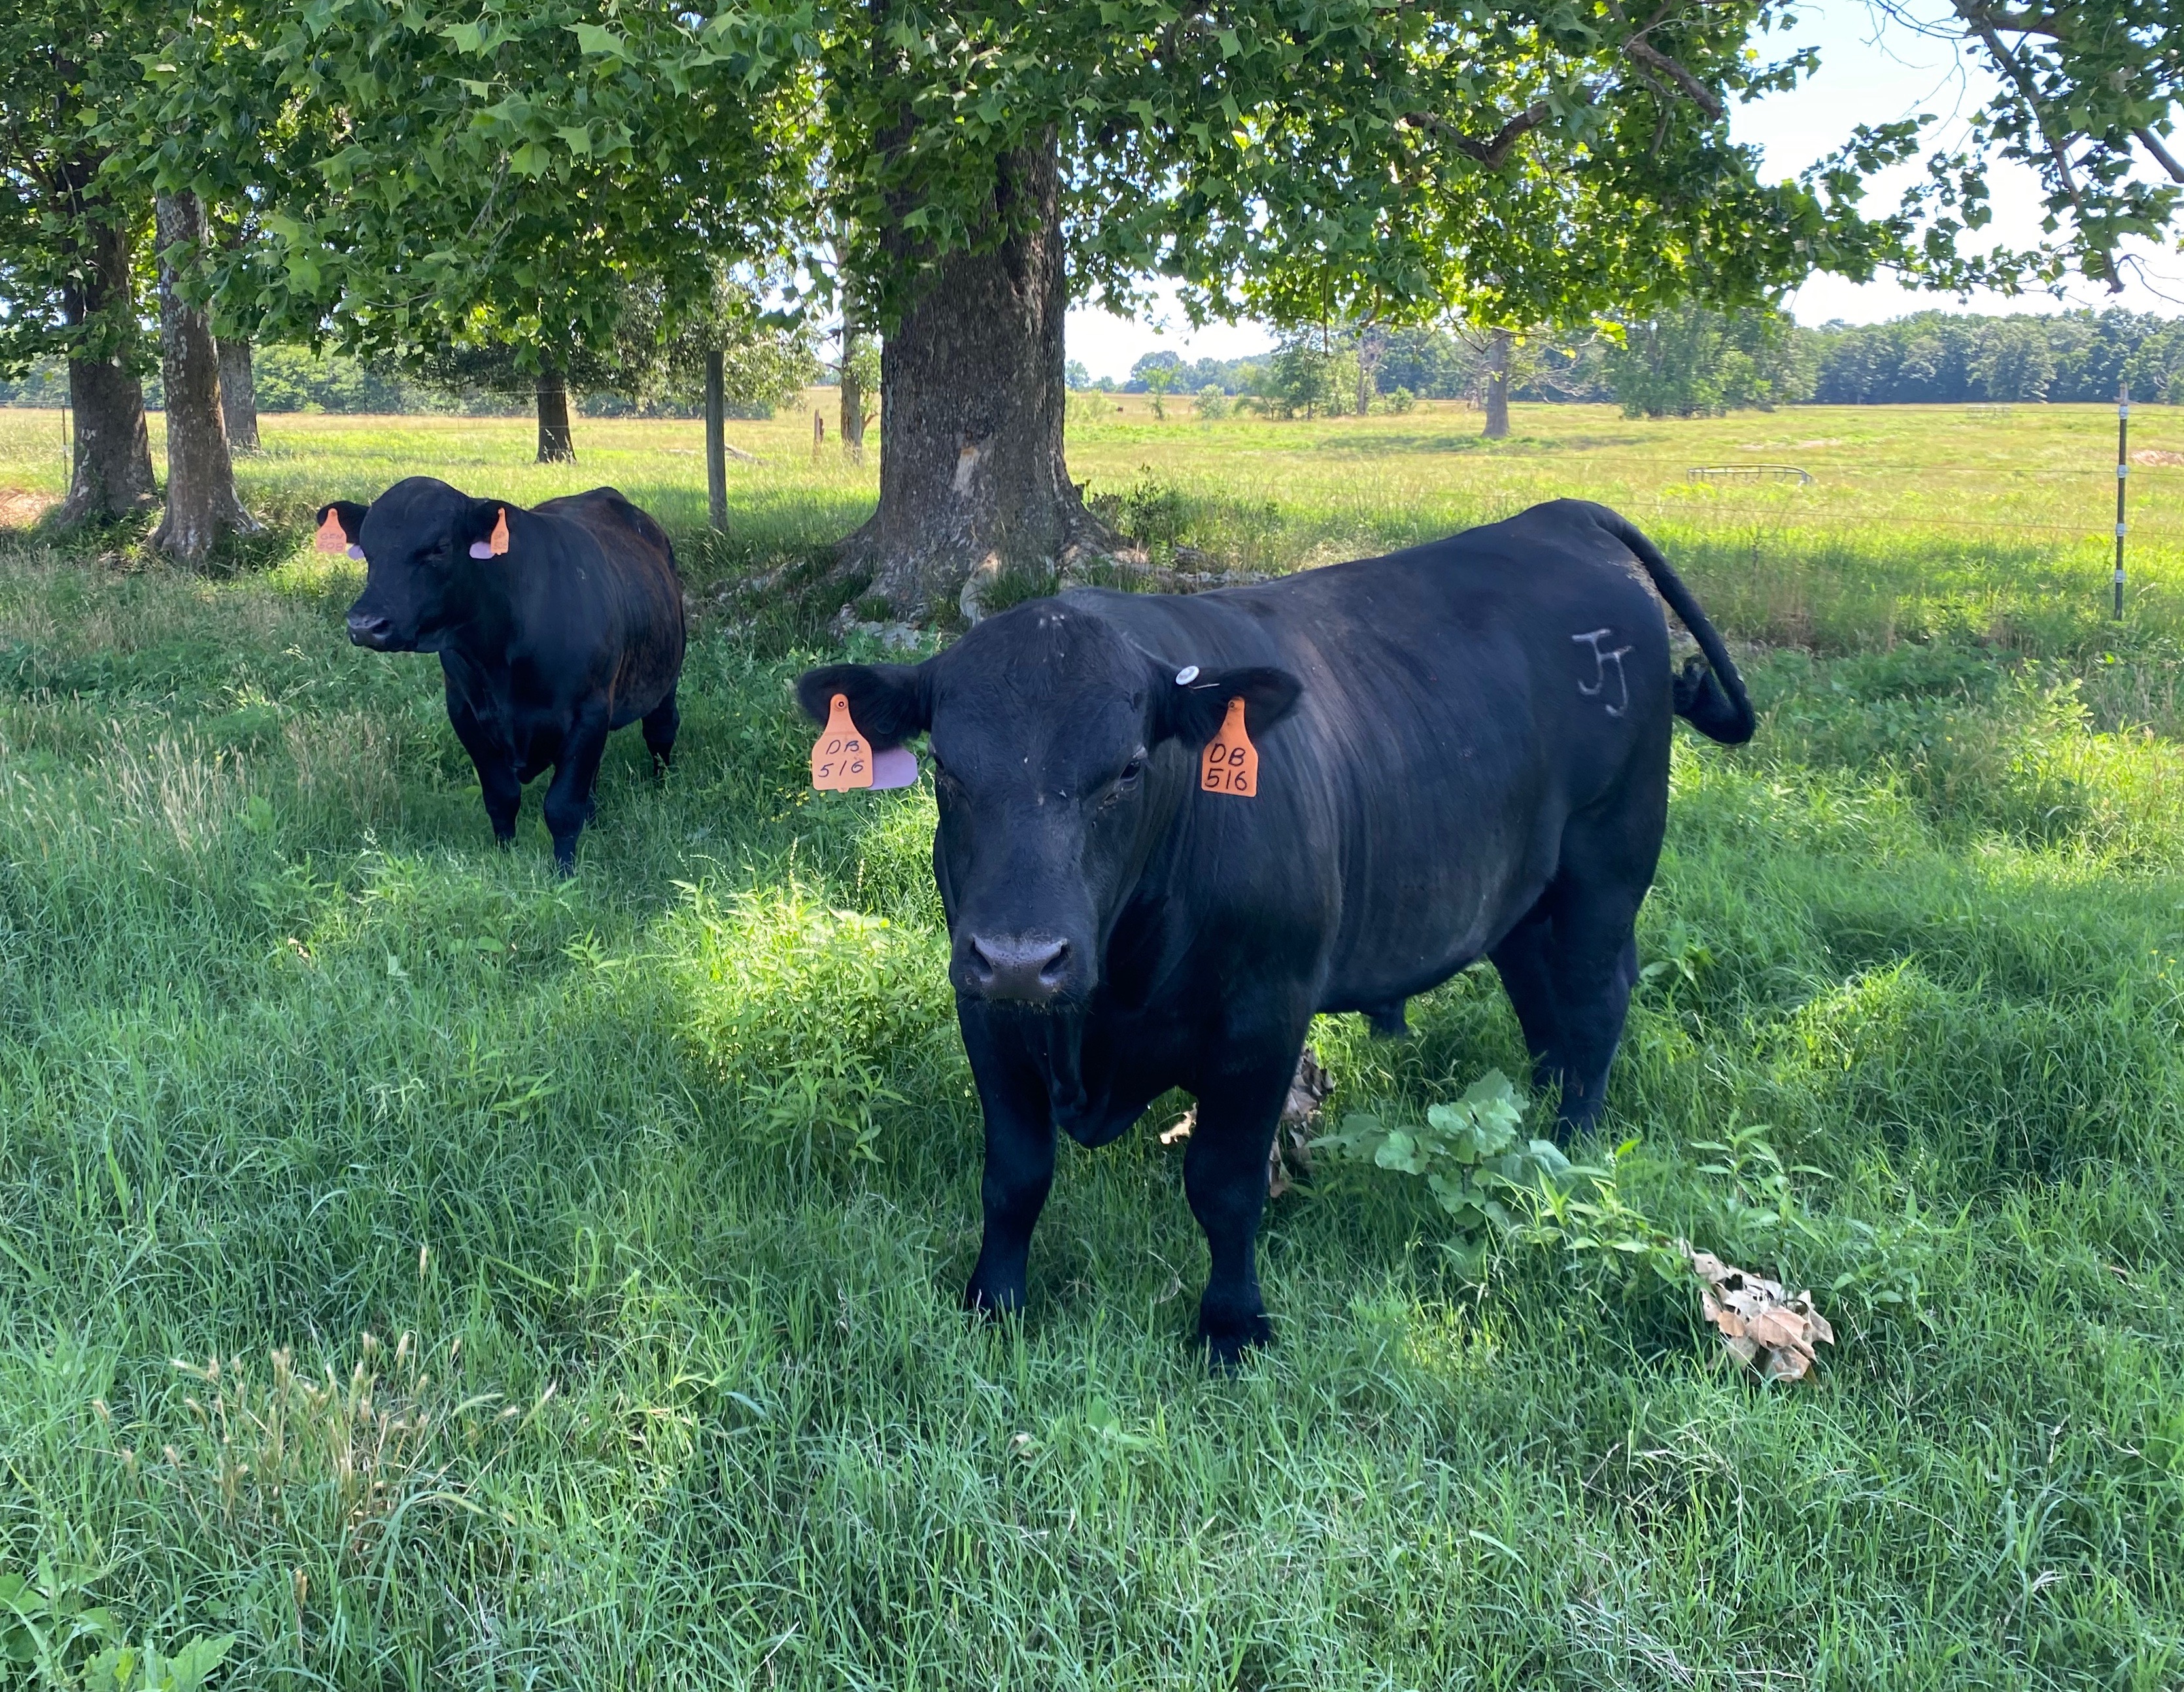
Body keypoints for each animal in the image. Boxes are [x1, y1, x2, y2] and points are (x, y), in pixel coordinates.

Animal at [318, 476, 684, 875]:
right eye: (367, 551)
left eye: (440, 548)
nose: (365, 625)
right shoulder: (465, 712)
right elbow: (501, 796)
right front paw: (504, 855)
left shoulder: (590, 711)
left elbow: (562, 806)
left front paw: (564, 874)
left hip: (666, 677)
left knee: (661, 732)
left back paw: (662, 788)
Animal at [796, 499, 1753, 1367]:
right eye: (947, 766)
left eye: (1129, 768)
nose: (1026, 958)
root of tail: (1563, 518)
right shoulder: (987, 1007)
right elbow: (1014, 1175)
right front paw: (992, 1301)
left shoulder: (1264, 1016)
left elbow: (1223, 1183)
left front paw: (1231, 1325)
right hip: (1522, 885)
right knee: (1541, 995)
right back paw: (1538, 1127)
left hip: (1608, 858)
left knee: (1594, 998)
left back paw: (1572, 1148)